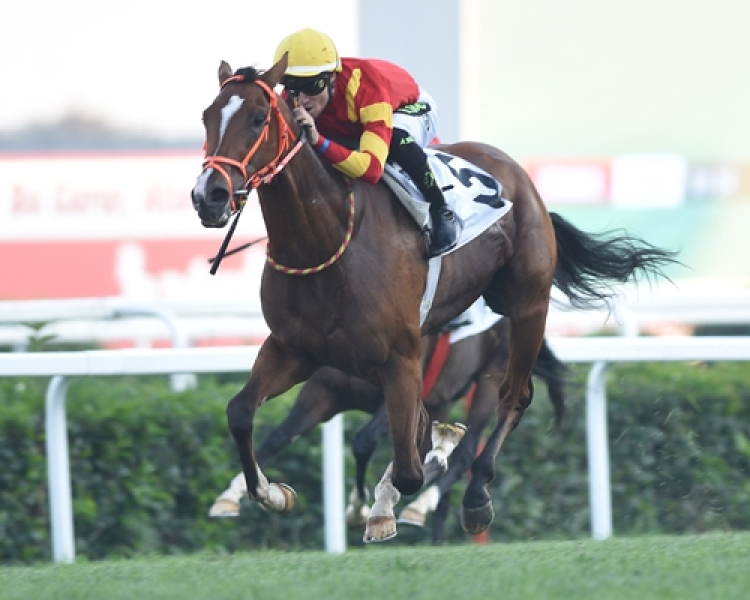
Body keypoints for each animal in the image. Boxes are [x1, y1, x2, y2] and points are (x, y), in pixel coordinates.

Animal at [208, 313, 567, 545]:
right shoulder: (321, 393)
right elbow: (277, 438)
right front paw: (239, 495)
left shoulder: (398, 393)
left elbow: (363, 440)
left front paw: (362, 510)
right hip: (442, 398)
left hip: (491, 378)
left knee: (465, 454)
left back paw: (421, 505)